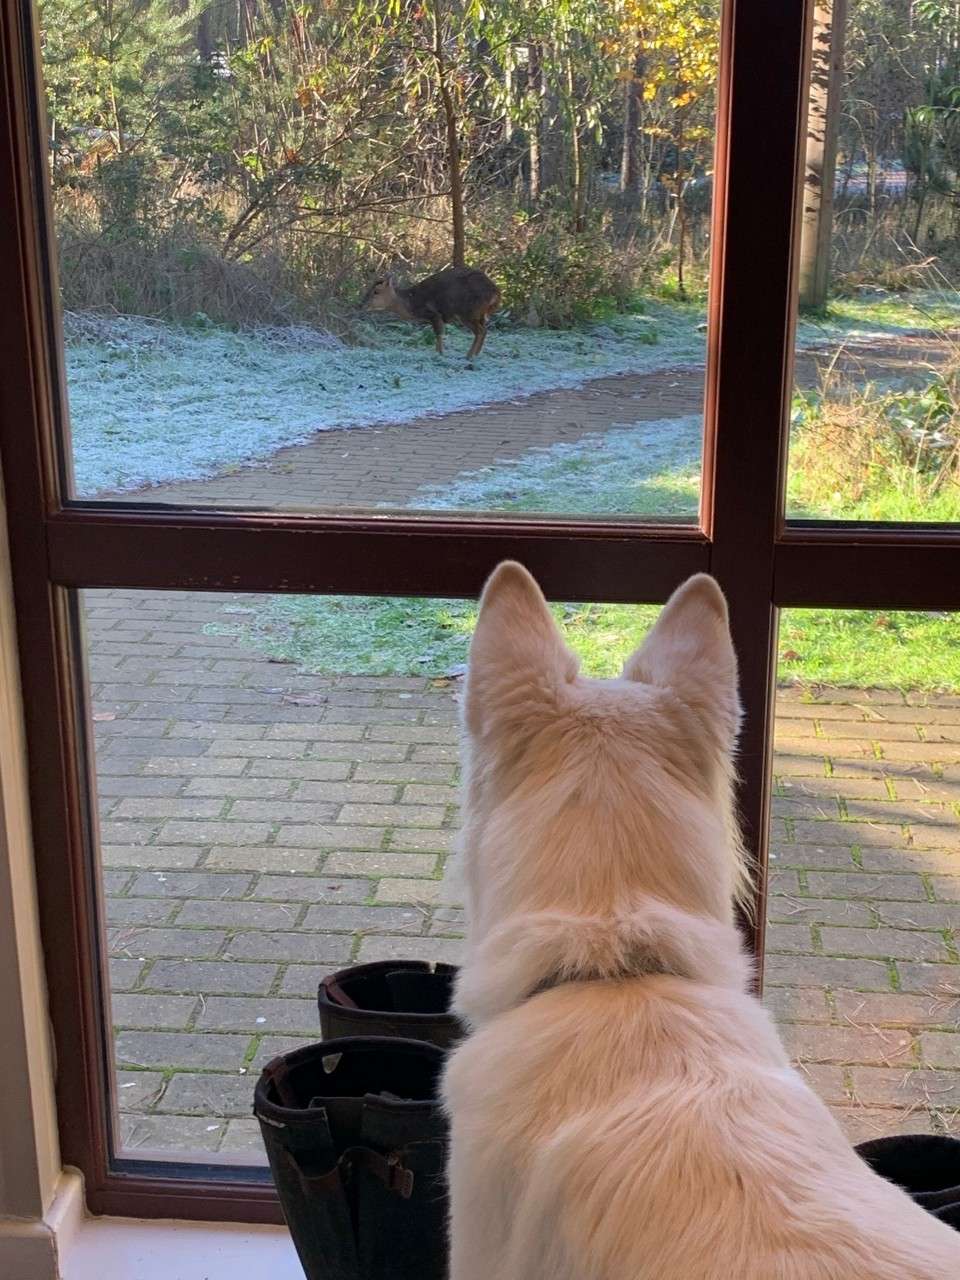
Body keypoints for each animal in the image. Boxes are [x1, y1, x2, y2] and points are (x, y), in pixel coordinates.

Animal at [360, 263, 504, 358]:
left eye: (376, 291)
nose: (363, 304)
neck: (411, 303)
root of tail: (496, 293)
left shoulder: (434, 313)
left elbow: (438, 333)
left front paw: (439, 354)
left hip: (467, 312)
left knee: (480, 331)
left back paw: (469, 356)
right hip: (480, 314)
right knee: (484, 330)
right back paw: (476, 354)